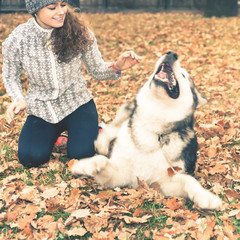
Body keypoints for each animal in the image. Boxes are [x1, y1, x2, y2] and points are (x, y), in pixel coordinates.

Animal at [70, 51, 223, 209]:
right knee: (113, 129)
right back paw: (102, 143)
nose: (171, 53)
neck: (153, 128)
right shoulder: (121, 174)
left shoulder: (165, 182)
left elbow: (189, 180)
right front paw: (84, 165)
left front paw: (205, 196)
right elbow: (101, 159)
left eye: (184, 75)